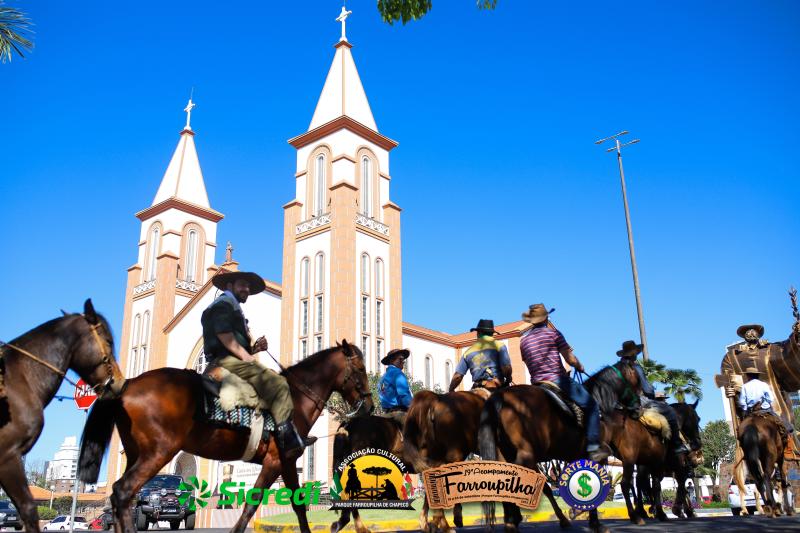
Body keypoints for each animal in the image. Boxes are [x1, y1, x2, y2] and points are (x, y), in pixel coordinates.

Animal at [78, 340, 372, 533]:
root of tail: (127, 385)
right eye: (359, 368)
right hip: (159, 452)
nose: (369, 406)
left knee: (122, 496)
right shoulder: (276, 461)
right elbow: (253, 504)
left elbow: (298, 506)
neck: (295, 399)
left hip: (136, 454)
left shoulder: (287, 463)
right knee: (124, 491)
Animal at [478, 360, 642, 533]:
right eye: (637, 381)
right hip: (526, 454)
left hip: (506, 455)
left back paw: (512, 520)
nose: (639, 408)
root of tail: (501, 396)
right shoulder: (596, 456)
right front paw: (594, 522)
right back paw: (513, 520)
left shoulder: (573, 456)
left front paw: (576, 514)